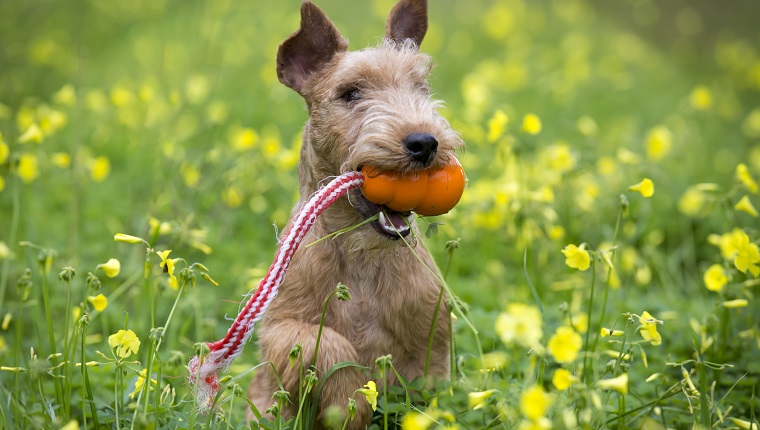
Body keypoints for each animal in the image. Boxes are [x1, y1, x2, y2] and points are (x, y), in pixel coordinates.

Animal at [249, 0, 464, 426]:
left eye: (422, 88)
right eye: (350, 93)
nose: (425, 142)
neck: (362, 254)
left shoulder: (434, 338)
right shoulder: (279, 328)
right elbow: (328, 345)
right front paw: (350, 403)